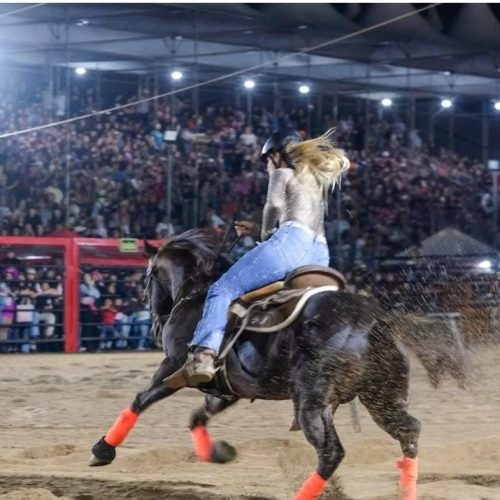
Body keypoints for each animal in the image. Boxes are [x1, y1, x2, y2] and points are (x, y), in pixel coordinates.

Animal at [89, 230, 468, 500]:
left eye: (149, 275)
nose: (154, 318)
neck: (198, 296)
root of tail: (372, 320)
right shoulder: (228, 388)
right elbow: (198, 416)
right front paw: (217, 452)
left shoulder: (175, 366)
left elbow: (142, 399)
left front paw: (103, 450)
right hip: (380, 398)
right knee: (409, 433)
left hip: (311, 403)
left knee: (331, 453)